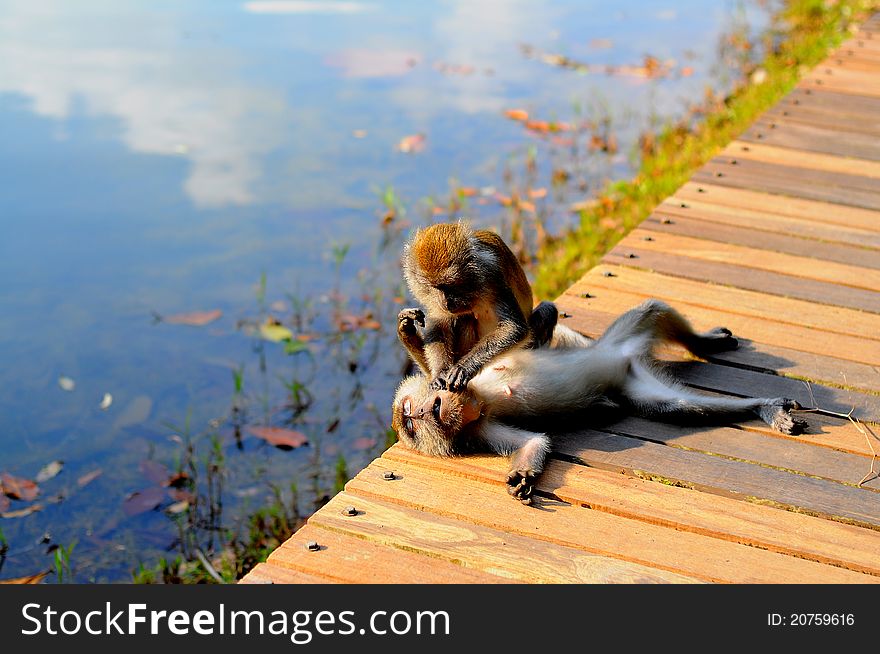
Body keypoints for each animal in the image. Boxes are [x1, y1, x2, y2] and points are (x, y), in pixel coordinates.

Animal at [396, 300, 808, 504]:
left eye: (410, 416)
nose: (424, 410)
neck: (479, 398)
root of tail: (626, 357)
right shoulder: (479, 429)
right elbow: (535, 441)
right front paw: (525, 475)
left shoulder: (460, 376)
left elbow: (457, 357)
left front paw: (409, 333)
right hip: (633, 378)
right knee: (677, 405)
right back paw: (761, 406)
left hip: (620, 337)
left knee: (652, 309)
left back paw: (704, 342)